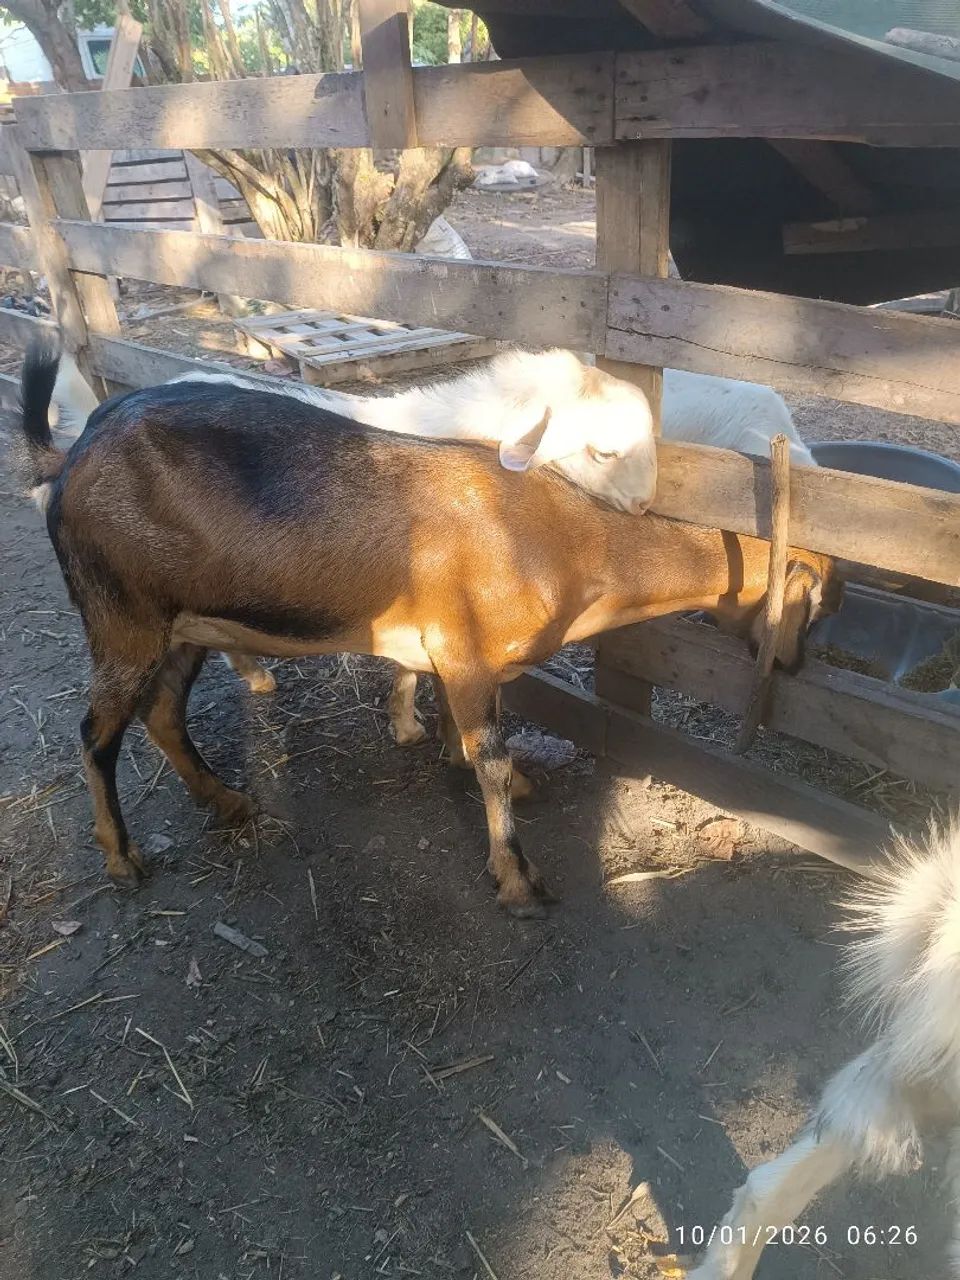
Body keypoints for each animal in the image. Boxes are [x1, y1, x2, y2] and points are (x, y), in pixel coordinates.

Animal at [20, 339, 838, 914]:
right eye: (822, 597)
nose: (795, 665)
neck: (569, 541)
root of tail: (69, 457)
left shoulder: (460, 653)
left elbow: (469, 733)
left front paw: (450, 751)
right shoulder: (467, 650)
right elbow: (491, 758)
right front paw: (517, 879)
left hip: (182, 624)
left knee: (161, 711)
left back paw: (227, 800)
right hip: (121, 618)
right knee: (95, 733)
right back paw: (121, 857)